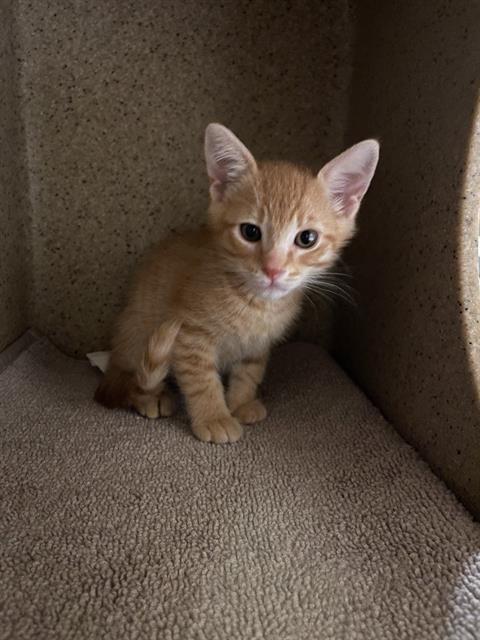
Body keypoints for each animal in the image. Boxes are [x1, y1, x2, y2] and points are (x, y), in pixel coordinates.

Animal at [95, 122, 380, 442]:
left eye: (307, 238)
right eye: (250, 232)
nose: (273, 269)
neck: (257, 306)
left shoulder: (258, 345)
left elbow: (249, 372)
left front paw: (241, 402)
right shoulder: (188, 336)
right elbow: (201, 380)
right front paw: (214, 416)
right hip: (139, 329)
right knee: (131, 381)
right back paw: (150, 396)